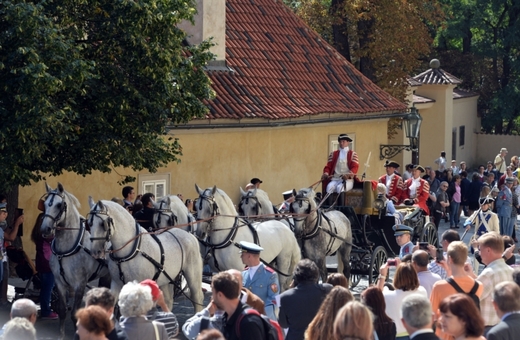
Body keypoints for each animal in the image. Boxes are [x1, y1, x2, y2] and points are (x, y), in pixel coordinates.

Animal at [40, 185, 110, 338]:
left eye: (59, 205)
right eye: (45, 204)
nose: (45, 229)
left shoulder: (80, 284)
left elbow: (74, 314)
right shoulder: (59, 282)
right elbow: (62, 311)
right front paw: (61, 336)